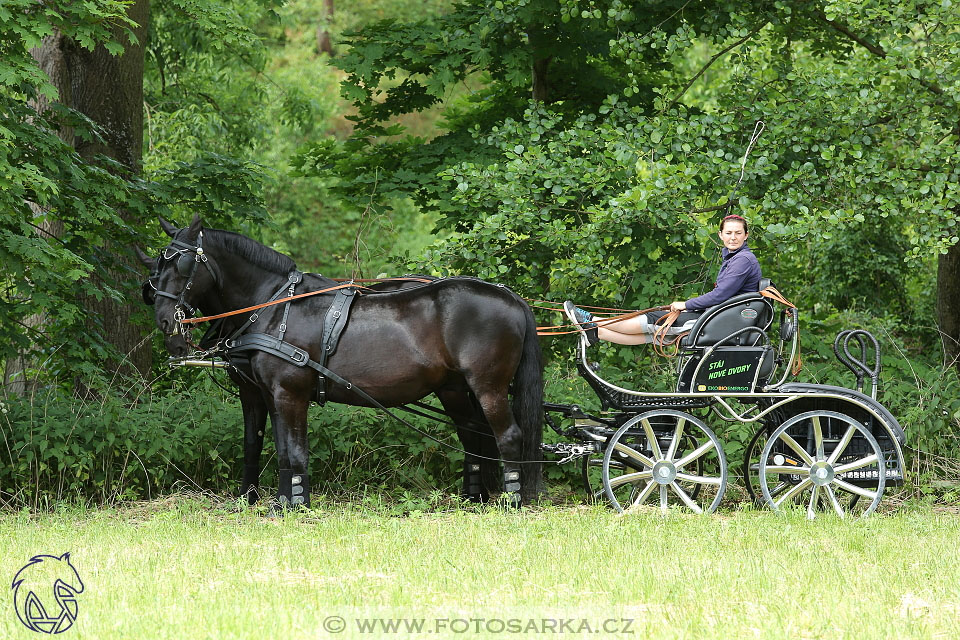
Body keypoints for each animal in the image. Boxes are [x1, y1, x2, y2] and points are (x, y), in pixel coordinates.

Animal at [137, 218, 540, 508]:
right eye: (157, 266)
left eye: (183, 265)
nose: (165, 321)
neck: (272, 306)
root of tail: (510, 297)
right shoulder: (263, 394)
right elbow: (271, 447)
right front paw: (273, 502)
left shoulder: (289, 393)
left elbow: (295, 450)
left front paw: (297, 503)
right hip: (453, 388)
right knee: (473, 434)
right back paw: (474, 499)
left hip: (488, 386)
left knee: (508, 435)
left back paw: (512, 501)